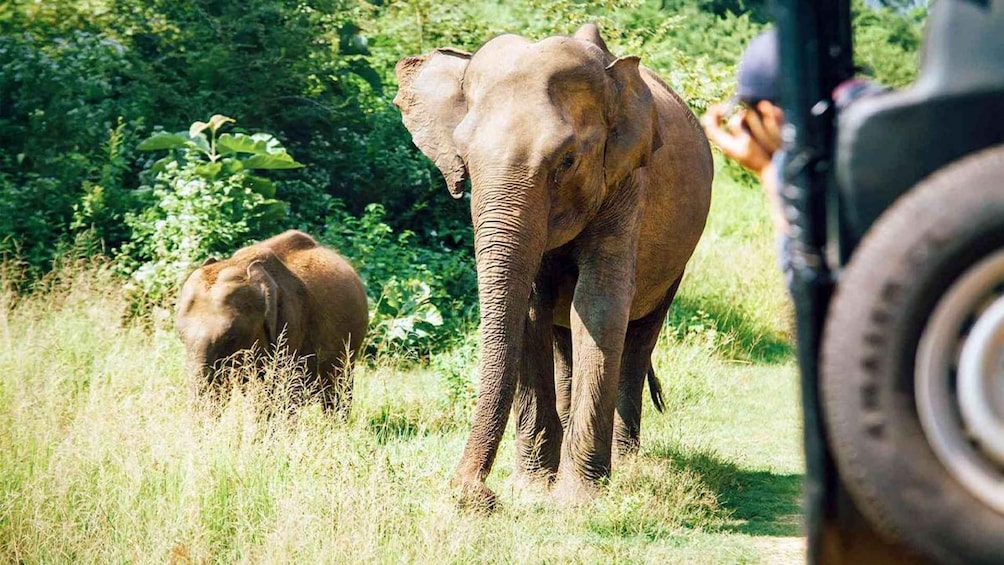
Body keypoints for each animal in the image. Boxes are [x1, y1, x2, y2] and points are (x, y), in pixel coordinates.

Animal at [394, 23, 713, 509]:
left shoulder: (627, 183)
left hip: (678, 260)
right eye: (463, 161)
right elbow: (530, 310)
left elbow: (598, 307)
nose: (473, 494)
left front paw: (577, 501)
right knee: (564, 337)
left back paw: (628, 463)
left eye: (567, 161)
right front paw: (532, 489)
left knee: (639, 337)